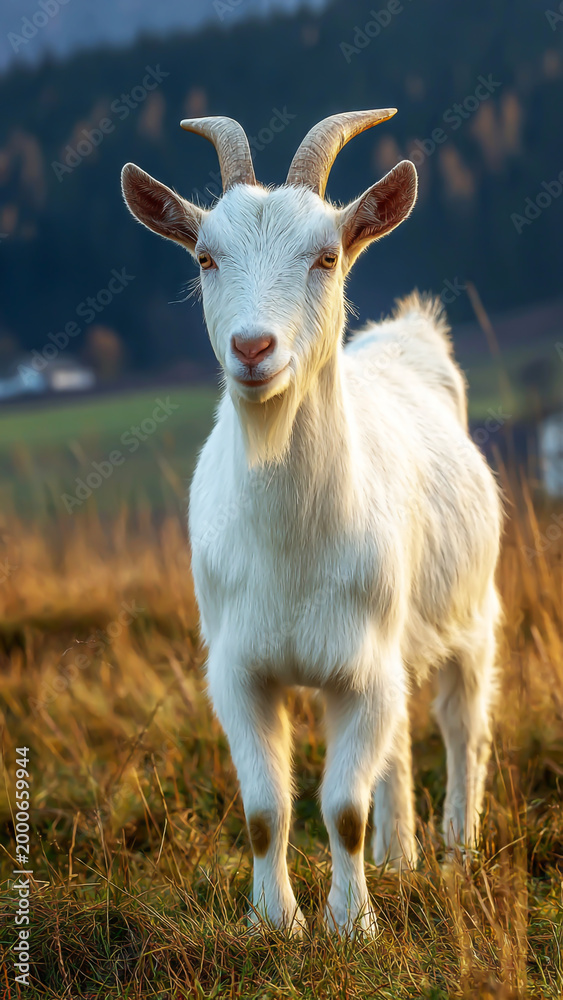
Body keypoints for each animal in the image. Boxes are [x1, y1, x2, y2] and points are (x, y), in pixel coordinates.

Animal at [121, 110, 502, 938]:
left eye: (326, 256)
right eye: (205, 257)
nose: (252, 348)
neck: (289, 544)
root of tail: (407, 336)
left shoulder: (361, 665)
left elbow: (342, 808)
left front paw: (351, 926)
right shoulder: (239, 670)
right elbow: (266, 810)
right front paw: (275, 922)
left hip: (469, 615)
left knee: (462, 728)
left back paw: (457, 854)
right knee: (399, 745)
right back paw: (401, 858)